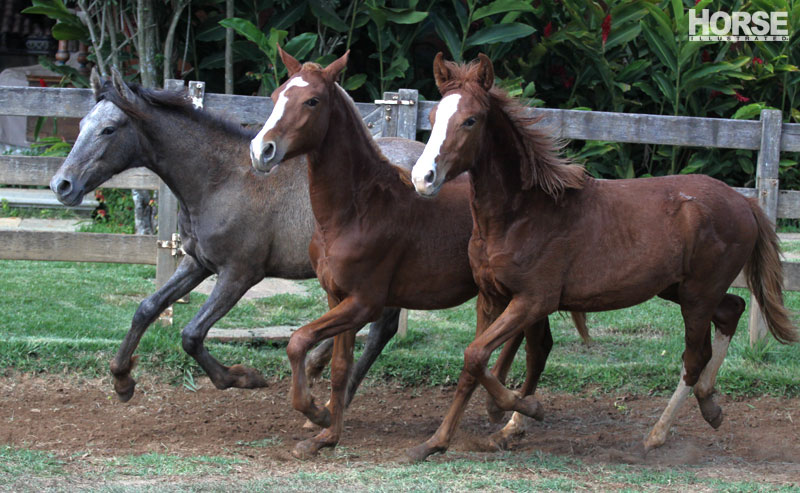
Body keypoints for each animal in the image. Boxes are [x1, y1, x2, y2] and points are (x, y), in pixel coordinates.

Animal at [247, 48, 592, 460]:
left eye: (312, 101)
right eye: (275, 96)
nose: (261, 150)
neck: (357, 209)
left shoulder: (364, 302)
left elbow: (298, 341)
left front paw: (315, 412)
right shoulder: (337, 296)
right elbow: (340, 366)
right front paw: (325, 435)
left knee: (535, 347)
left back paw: (512, 417)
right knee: (526, 343)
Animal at [410, 53, 796, 462]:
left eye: (470, 120)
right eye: (432, 116)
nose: (423, 178)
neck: (521, 213)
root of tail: (746, 202)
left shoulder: (535, 300)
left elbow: (477, 355)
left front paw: (522, 410)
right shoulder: (491, 296)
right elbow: (482, 362)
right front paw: (440, 440)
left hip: (698, 295)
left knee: (695, 357)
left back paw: (658, 434)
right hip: (679, 290)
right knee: (732, 310)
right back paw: (711, 406)